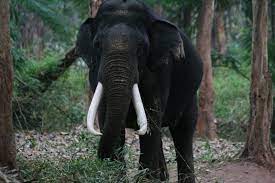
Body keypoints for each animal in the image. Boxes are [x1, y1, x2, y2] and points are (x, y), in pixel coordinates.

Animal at [76, 0, 204, 182]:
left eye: (141, 47)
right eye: (97, 45)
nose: (101, 159)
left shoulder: (160, 72)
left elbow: (151, 117)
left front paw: (145, 179)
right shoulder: (94, 72)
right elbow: (108, 117)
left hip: (190, 95)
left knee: (183, 131)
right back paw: (162, 177)